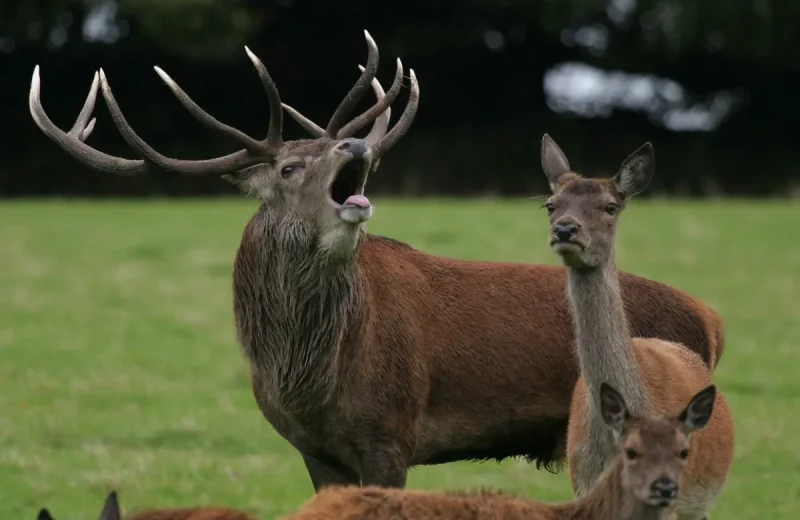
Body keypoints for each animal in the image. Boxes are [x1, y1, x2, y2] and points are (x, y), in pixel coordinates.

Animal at [29, 30, 724, 494]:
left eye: (342, 147)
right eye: (289, 166)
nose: (357, 142)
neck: (310, 377)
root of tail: (710, 319)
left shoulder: (392, 433)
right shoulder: (313, 450)